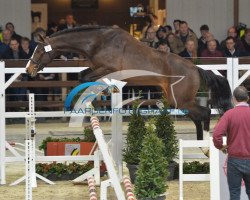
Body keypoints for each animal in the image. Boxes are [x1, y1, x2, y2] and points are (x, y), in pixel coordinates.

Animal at [25, 25, 232, 140]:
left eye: (39, 51)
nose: (29, 70)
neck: (97, 42)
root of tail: (195, 69)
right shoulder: (97, 68)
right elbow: (83, 76)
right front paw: (104, 91)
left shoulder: (108, 68)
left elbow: (85, 78)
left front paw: (103, 91)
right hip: (177, 100)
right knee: (198, 117)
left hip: (179, 99)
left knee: (204, 113)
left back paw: (206, 145)